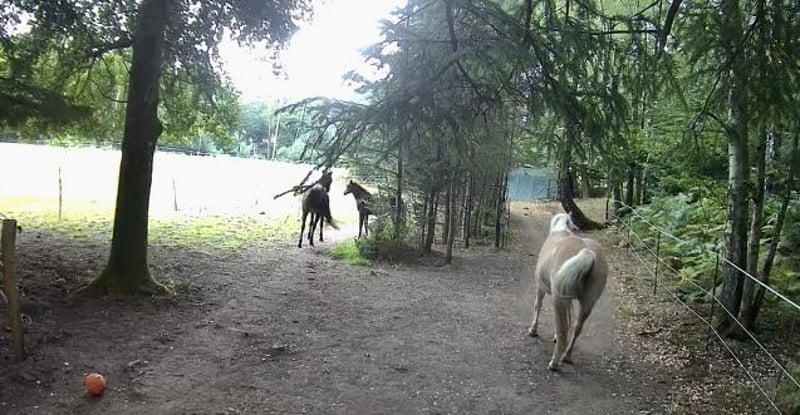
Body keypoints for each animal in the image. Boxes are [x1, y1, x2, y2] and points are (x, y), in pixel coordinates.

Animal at [527, 212, 608, 371]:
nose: (577, 228)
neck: (560, 231)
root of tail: (588, 253)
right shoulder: (568, 298)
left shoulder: (540, 286)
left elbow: (537, 306)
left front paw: (533, 330)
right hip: (587, 303)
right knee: (577, 328)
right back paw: (567, 356)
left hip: (559, 298)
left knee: (563, 329)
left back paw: (554, 363)